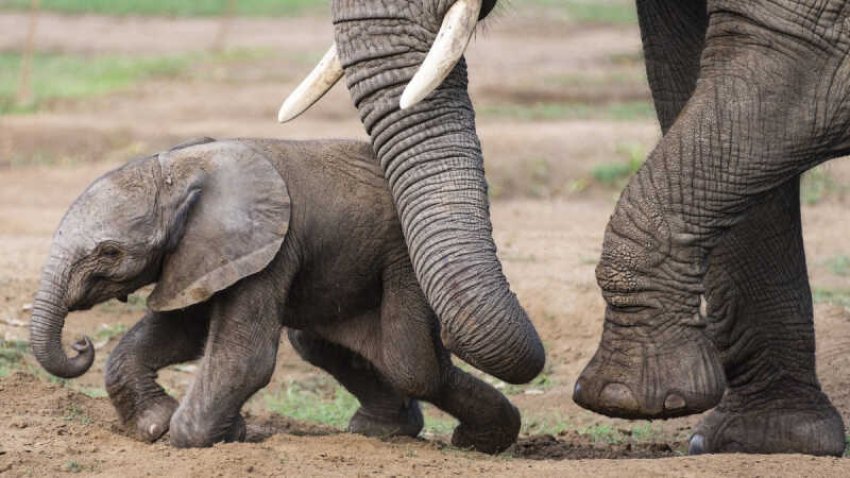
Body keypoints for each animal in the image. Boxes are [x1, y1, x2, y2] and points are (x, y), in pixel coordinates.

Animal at [29, 137, 520, 452]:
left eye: (110, 252)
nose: (81, 344)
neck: (178, 169)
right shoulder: (200, 255)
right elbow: (182, 332)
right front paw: (157, 425)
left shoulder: (270, 246)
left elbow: (244, 356)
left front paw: (203, 436)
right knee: (332, 348)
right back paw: (397, 433)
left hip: (404, 258)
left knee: (411, 363)